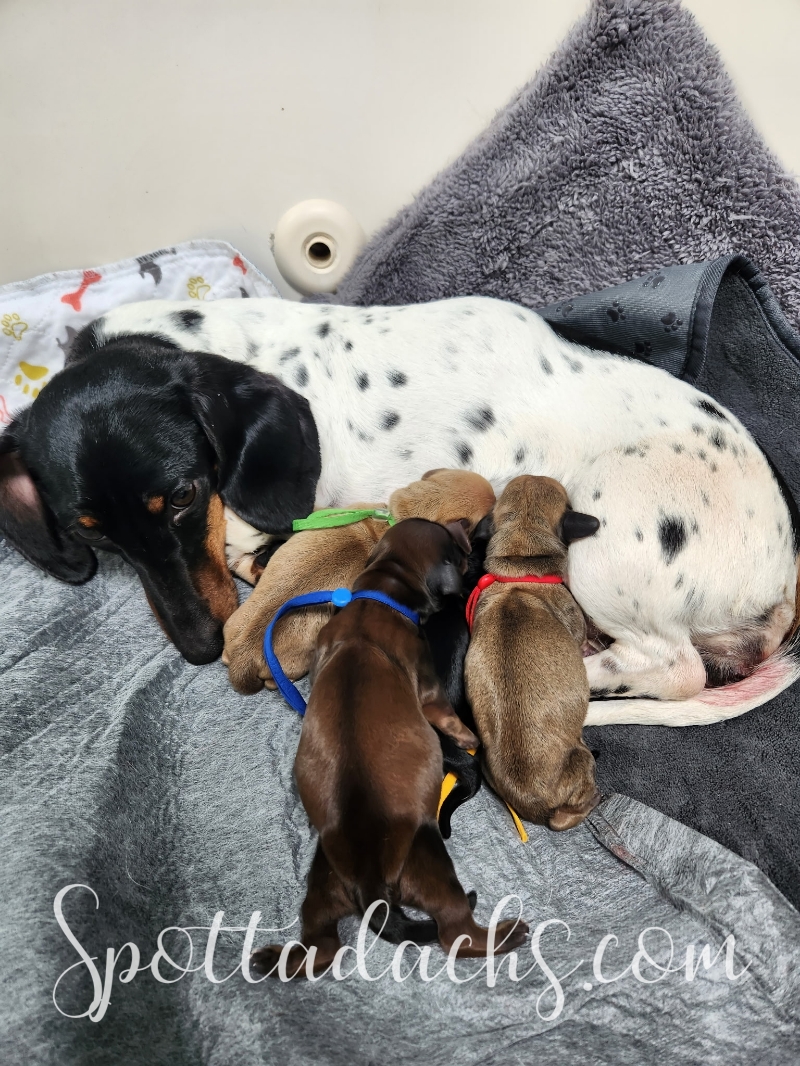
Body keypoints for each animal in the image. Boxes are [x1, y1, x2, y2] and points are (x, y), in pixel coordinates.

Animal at [1, 295, 796, 725]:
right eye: (93, 535)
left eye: (185, 497)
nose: (200, 645)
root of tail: (784, 576)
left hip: (607, 539)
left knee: (673, 669)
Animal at [250, 518, 528, 978]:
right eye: (459, 549)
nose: (468, 529)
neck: (376, 594)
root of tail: (370, 886)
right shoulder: (426, 680)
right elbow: (440, 710)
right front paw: (467, 738)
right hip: (433, 872)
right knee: (457, 935)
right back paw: (508, 934)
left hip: (322, 892)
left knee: (321, 949)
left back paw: (272, 959)